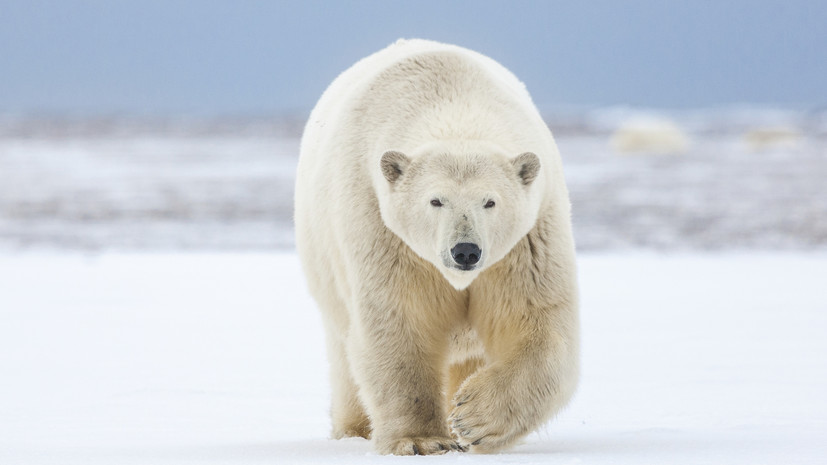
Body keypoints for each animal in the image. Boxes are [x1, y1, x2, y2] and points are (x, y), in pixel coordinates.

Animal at [294, 39, 580, 454]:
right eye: (435, 200)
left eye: (490, 201)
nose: (465, 251)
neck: (452, 102)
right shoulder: (383, 230)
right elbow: (399, 321)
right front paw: (421, 439)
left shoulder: (527, 241)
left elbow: (535, 320)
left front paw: (472, 418)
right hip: (327, 270)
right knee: (346, 356)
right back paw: (353, 429)